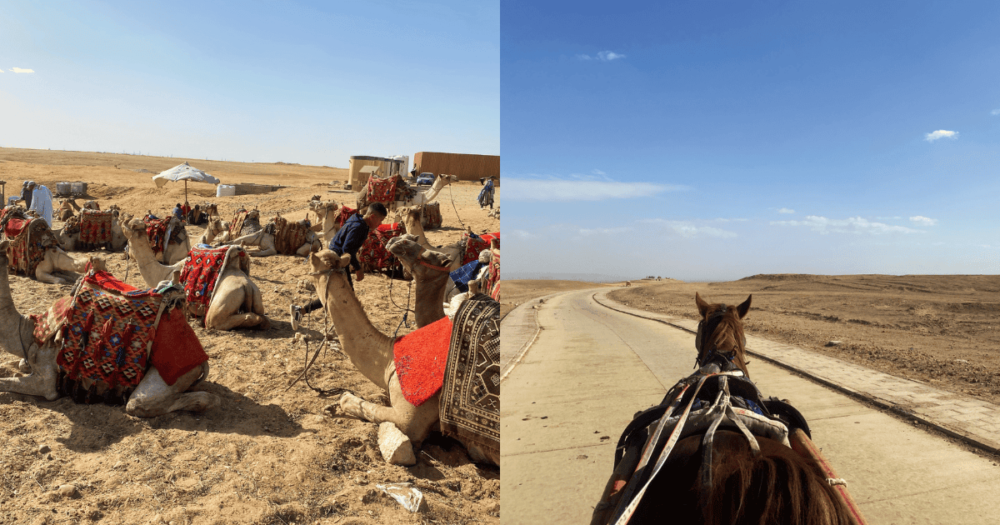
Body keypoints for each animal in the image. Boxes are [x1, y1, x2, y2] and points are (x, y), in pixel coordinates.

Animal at [0, 239, 218, 416]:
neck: (30, 330)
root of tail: (202, 359)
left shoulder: (46, 383)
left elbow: (9, 383)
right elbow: (18, 365)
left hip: (173, 373)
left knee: (140, 404)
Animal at [118, 213, 270, 328]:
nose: (121, 218)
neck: (165, 273)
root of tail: (247, 286)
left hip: (223, 303)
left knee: (216, 321)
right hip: (257, 295)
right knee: (262, 317)